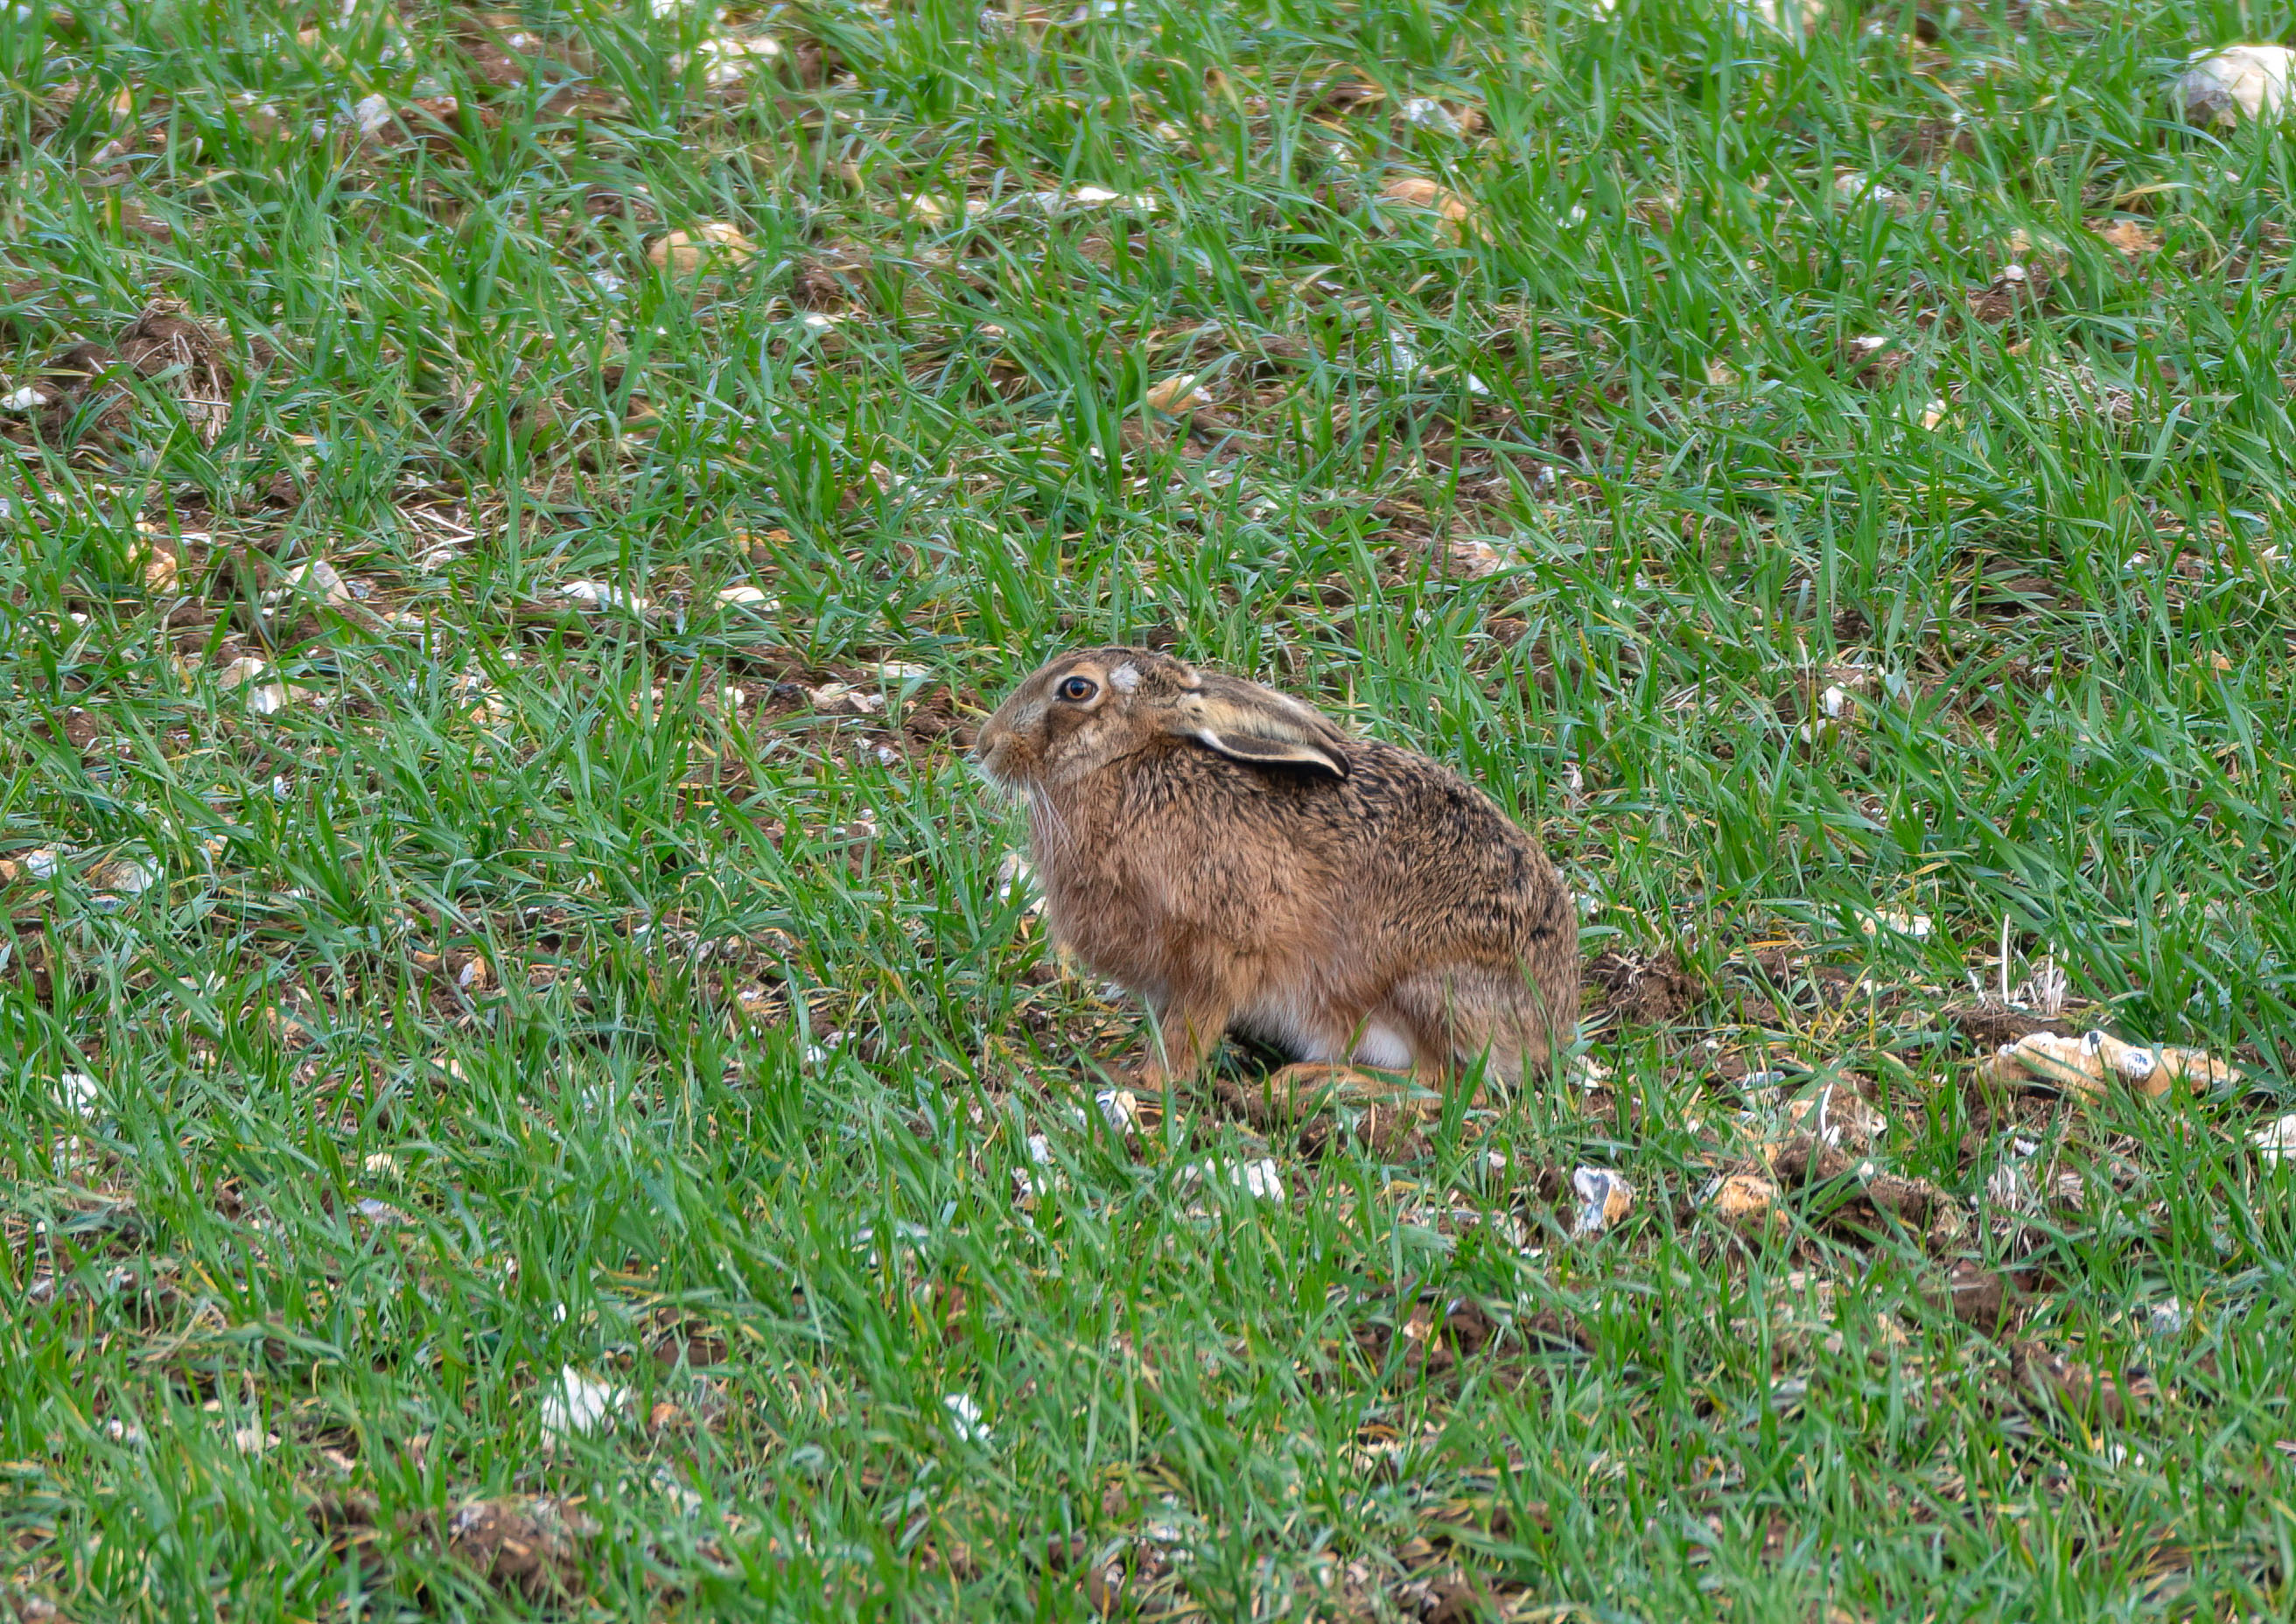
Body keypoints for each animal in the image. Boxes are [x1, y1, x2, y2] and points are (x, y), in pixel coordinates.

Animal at [974, 647, 1578, 1089]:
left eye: (1076, 689)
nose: (985, 747)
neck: (1127, 763)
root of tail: (1547, 1026)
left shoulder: (1222, 947)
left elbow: (1186, 1032)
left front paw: (1142, 1081)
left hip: (1423, 988)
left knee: (1445, 1082)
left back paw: (1315, 1083)